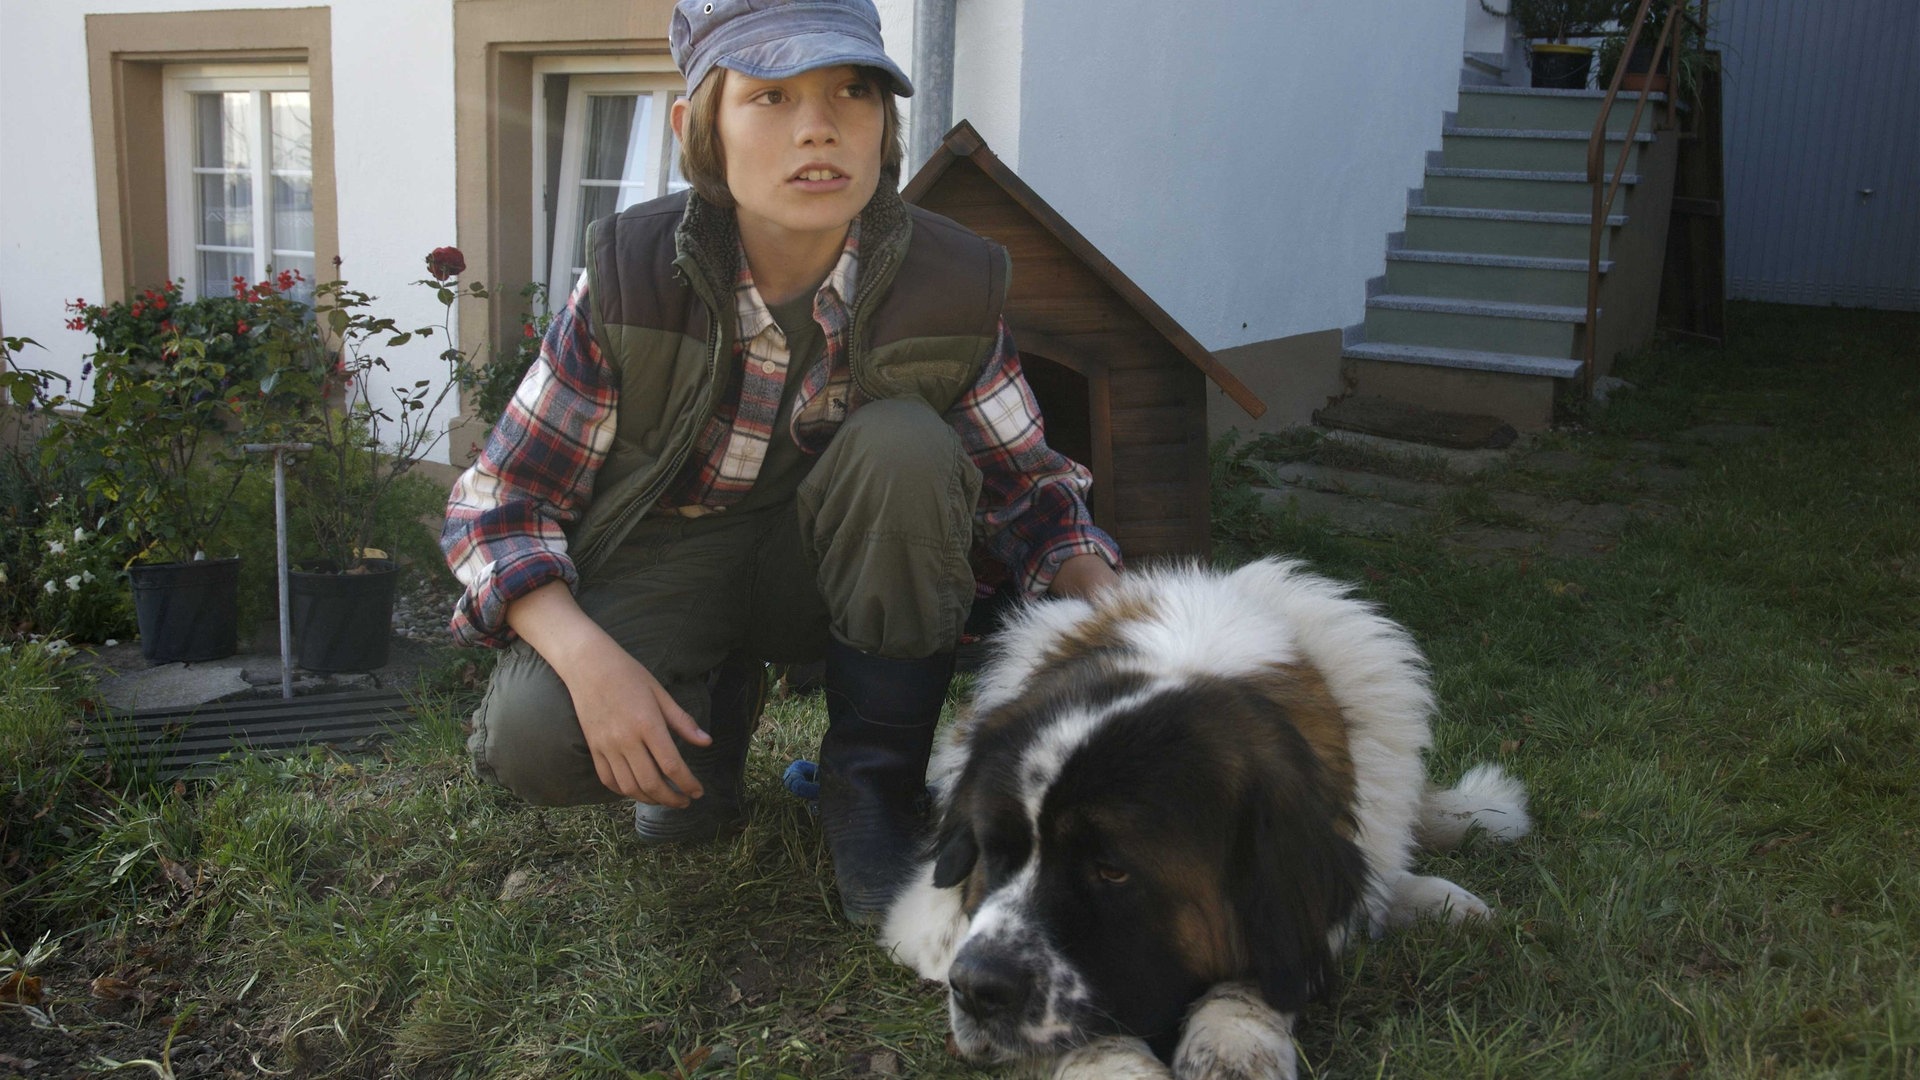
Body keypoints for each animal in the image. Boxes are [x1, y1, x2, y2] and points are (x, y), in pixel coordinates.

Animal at [879, 557, 1528, 1068]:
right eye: (996, 853)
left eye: (1113, 872)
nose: (975, 989)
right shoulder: (931, 922)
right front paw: (1119, 1068)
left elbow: (1262, 969)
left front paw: (1235, 1046)